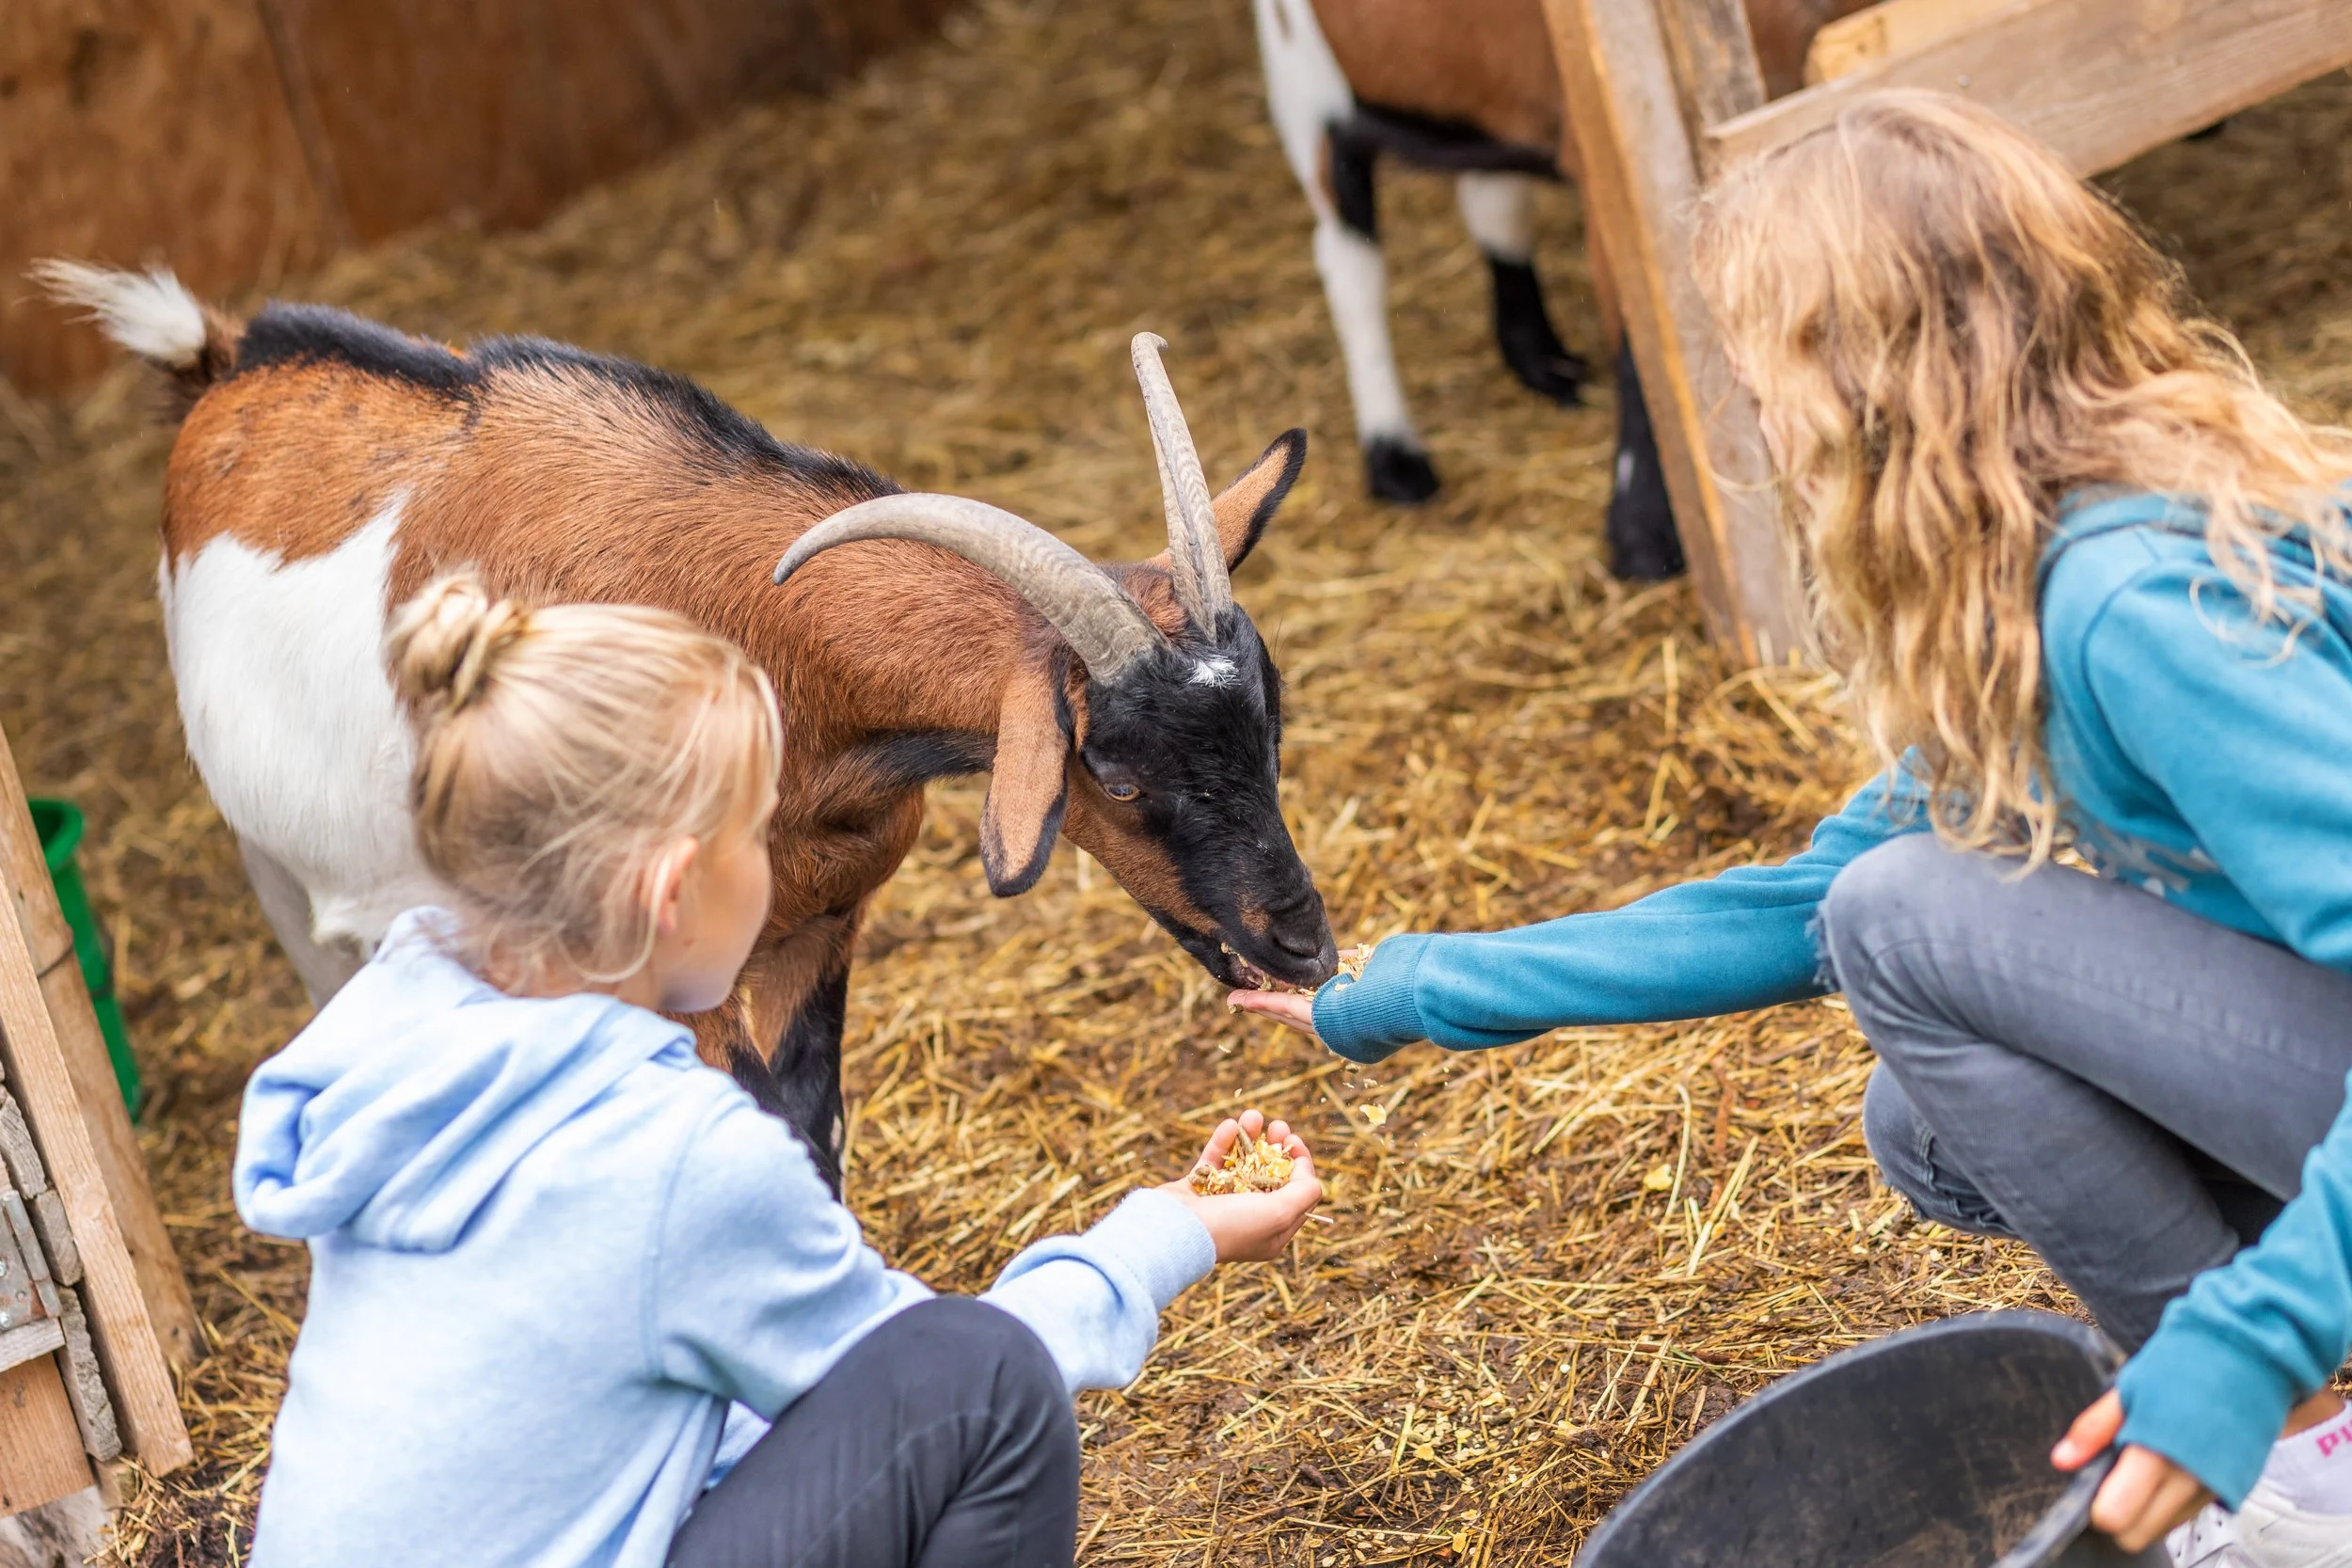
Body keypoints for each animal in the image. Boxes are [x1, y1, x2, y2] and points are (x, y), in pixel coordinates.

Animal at [42, 263, 1340, 1193]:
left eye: (1269, 714)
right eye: (1109, 770)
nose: (1303, 943)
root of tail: (224, 364)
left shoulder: (820, 921)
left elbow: (809, 1128)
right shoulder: (673, 971)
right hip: (286, 874)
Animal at [1256, 0, 1869, 578]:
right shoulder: (1605, 155)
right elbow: (1638, 336)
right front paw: (1644, 539)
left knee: (1492, 205)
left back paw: (1542, 363)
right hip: (1308, 91)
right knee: (1350, 263)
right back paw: (1394, 458)